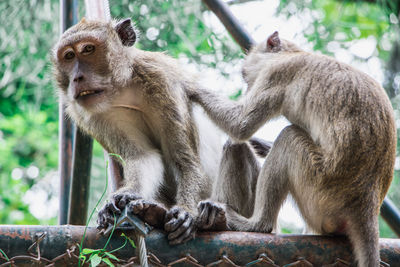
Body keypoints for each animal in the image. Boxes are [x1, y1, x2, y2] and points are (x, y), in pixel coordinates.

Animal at [50, 17, 268, 246]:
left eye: (88, 49)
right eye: (69, 56)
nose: (77, 78)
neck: (122, 90)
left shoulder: (161, 80)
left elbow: (184, 160)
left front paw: (186, 212)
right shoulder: (88, 113)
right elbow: (144, 156)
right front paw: (127, 195)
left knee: (237, 148)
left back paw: (217, 218)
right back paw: (153, 212)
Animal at [191, 31, 396, 267]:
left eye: (245, 76)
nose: (248, 89)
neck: (294, 53)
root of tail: (367, 205)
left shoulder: (277, 74)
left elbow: (240, 125)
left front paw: (189, 85)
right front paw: (260, 145)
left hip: (320, 188)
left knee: (288, 139)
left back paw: (256, 224)